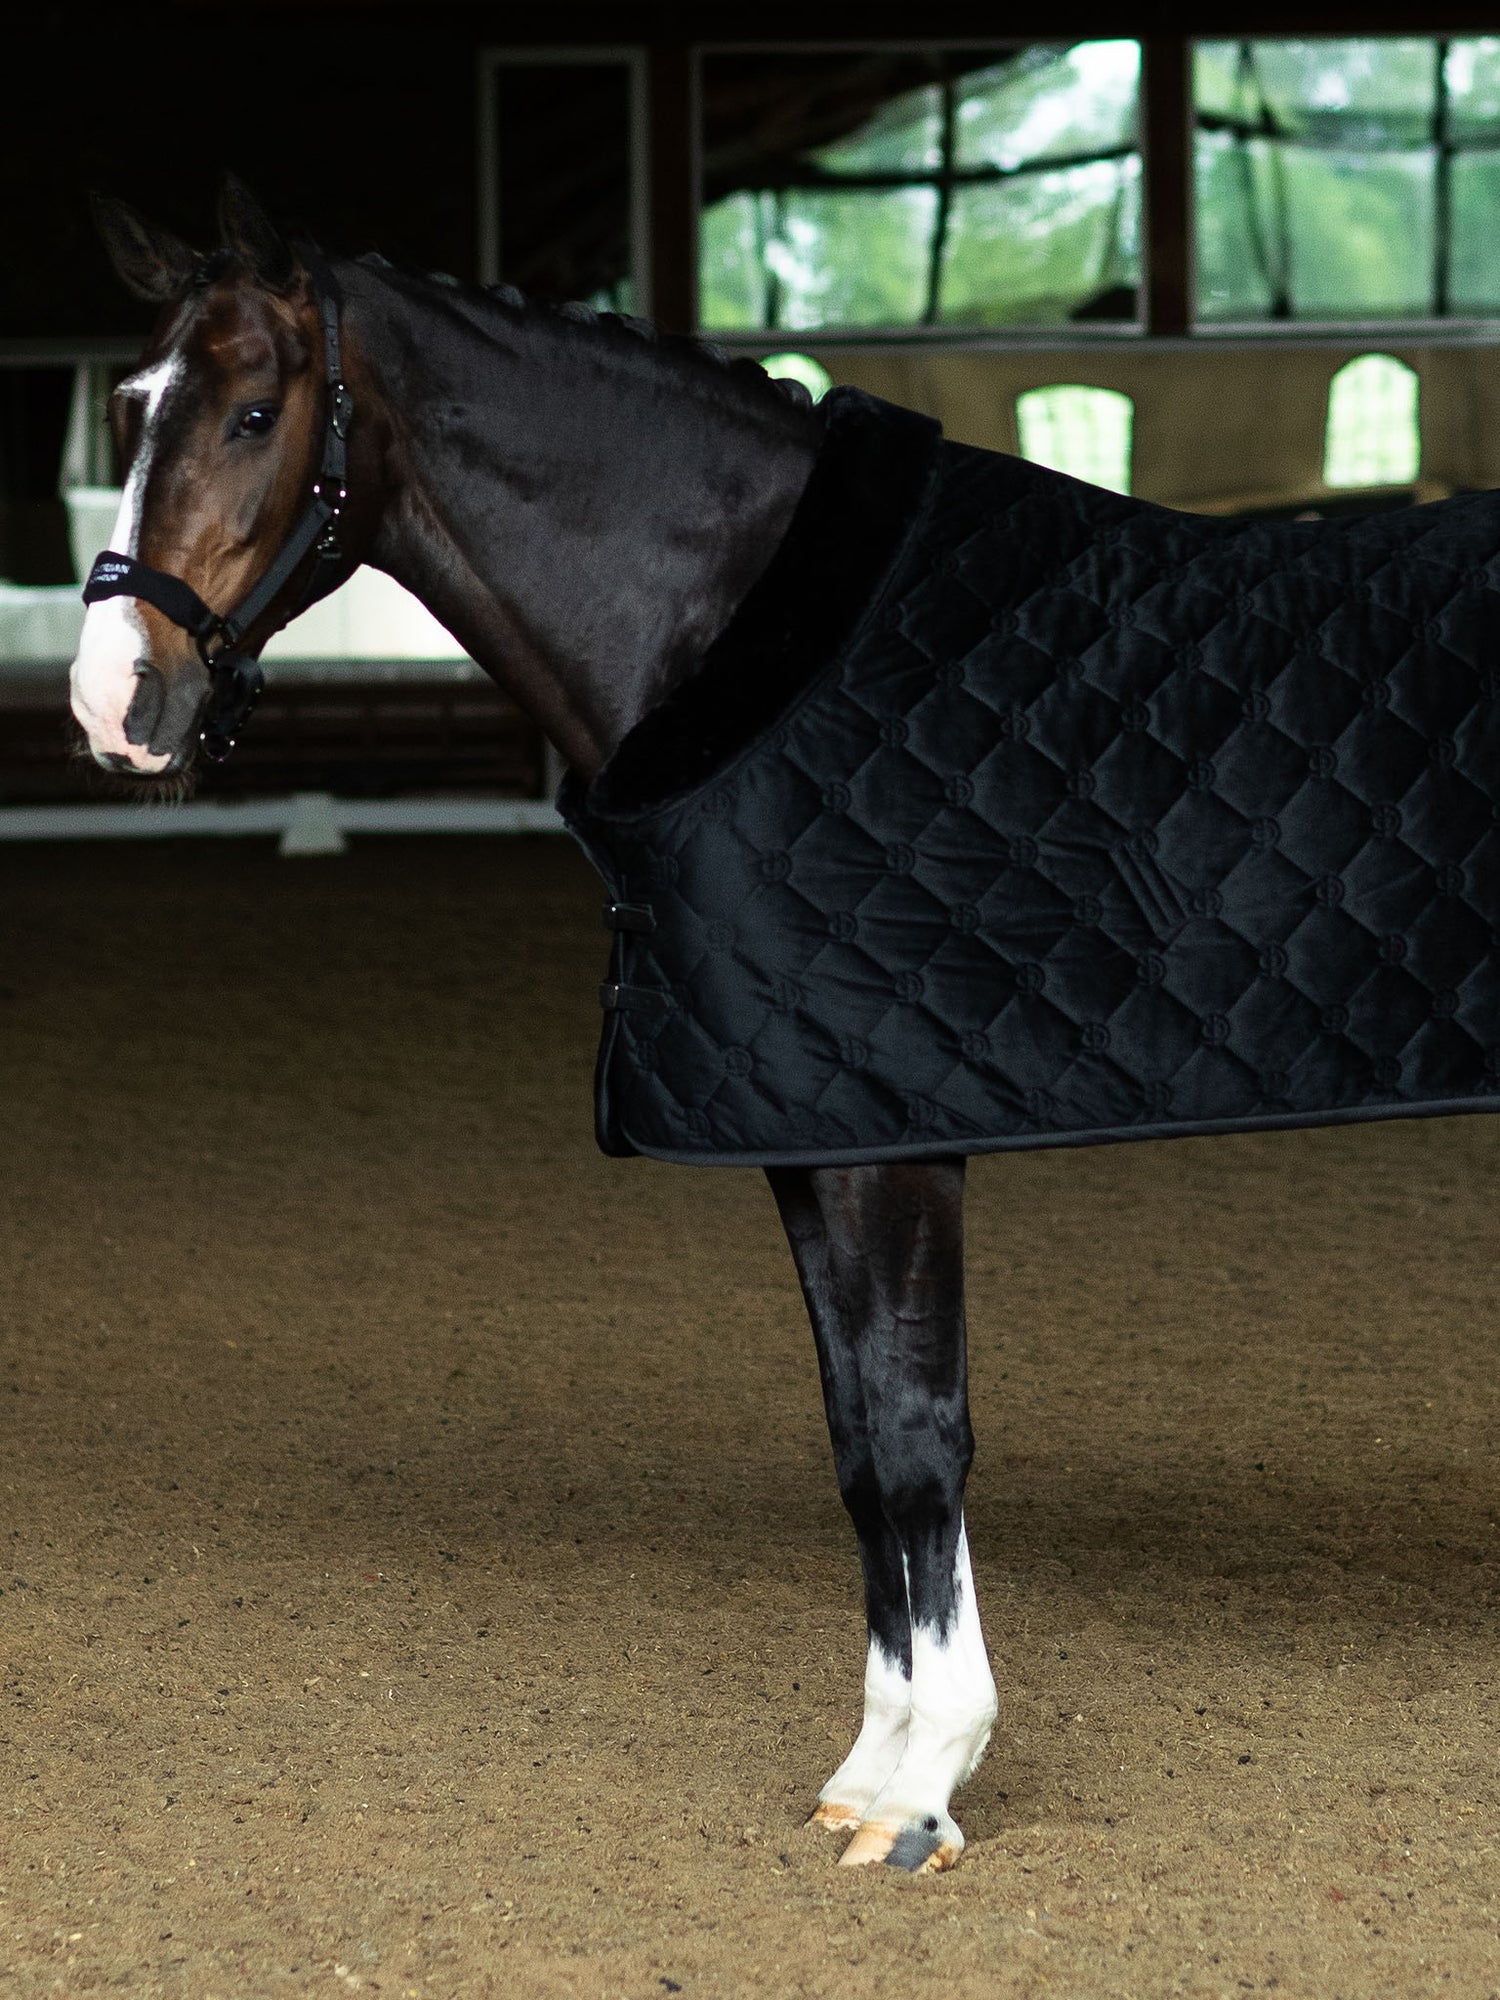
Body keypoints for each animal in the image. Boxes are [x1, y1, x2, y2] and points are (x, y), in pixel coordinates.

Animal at [70, 178, 997, 1873]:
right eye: (130, 406)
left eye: (252, 412)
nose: (113, 702)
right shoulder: (805, 1126)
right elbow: (857, 1435)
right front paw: (875, 1763)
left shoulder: (895, 1130)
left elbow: (913, 1430)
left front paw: (924, 1790)